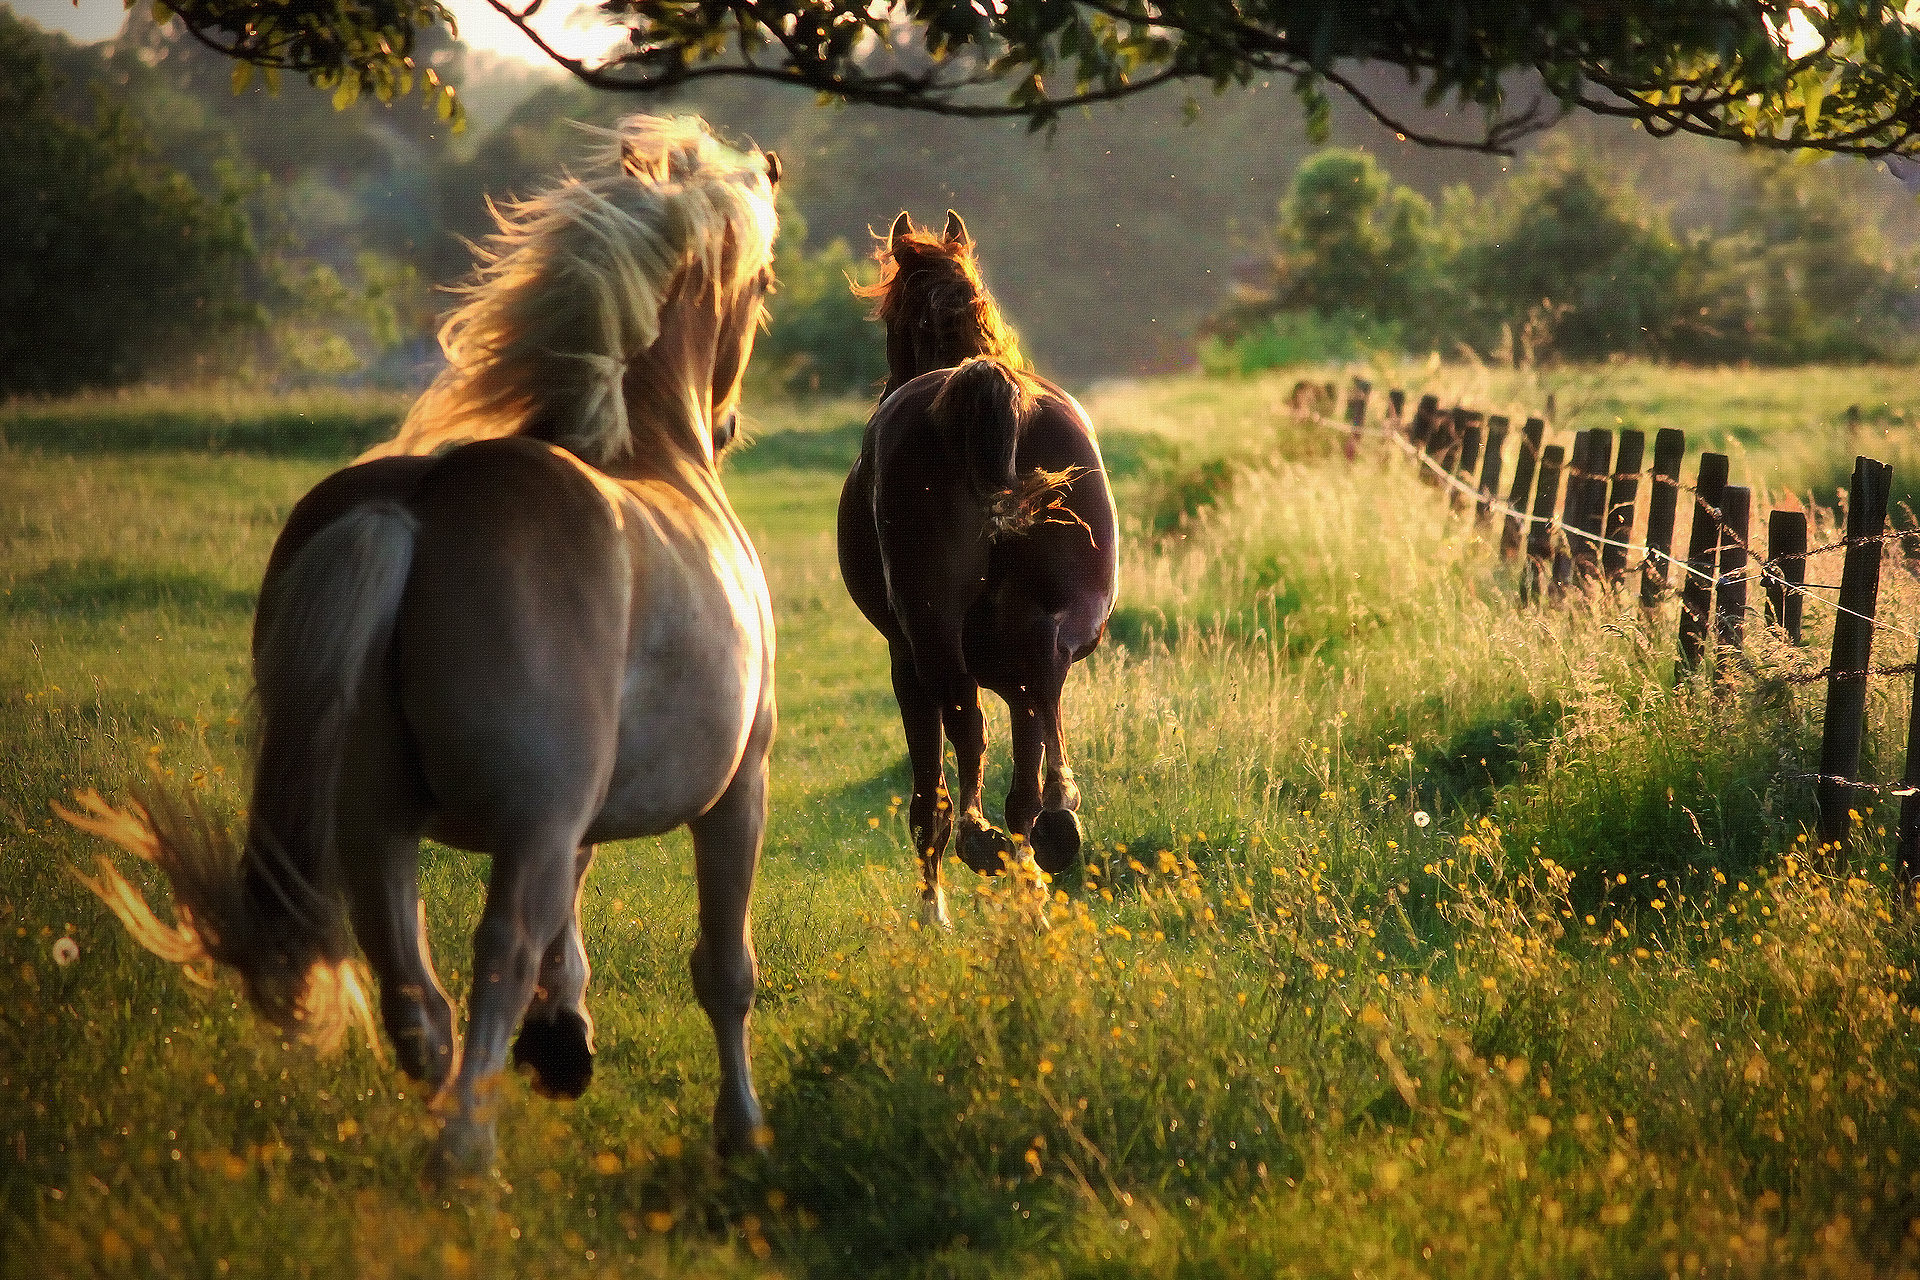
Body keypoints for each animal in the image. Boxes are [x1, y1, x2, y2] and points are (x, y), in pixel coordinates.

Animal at [61, 119, 779, 1182]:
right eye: (762, 285)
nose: (727, 425)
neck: (653, 452)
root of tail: (413, 508)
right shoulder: (733, 790)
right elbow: (723, 970)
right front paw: (740, 1128)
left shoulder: (577, 814)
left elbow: (576, 927)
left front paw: (565, 1041)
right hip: (519, 825)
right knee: (496, 956)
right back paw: (467, 1156)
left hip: (375, 824)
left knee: (416, 998)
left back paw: (454, 1126)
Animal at [833, 213, 1121, 932]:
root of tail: (984, 388)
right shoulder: (1019, 659)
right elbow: (1029, 747)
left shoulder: (903, 659)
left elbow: (928, 786)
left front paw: (933, 913)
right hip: (1054, 624)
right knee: (1040, 704)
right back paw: (1047, 836)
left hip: (930, 638)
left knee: (963, 734)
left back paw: (975, 846)